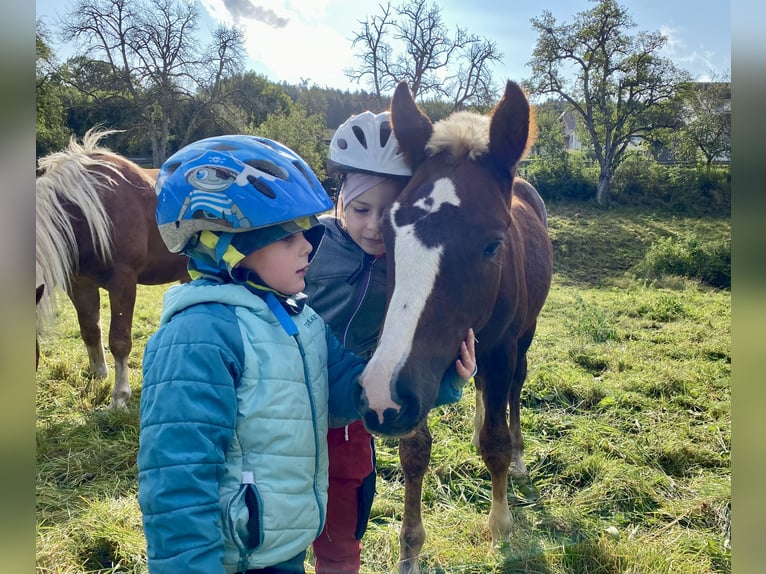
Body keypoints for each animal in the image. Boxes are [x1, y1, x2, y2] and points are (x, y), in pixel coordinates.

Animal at [36, 130, 190, 410]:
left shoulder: (123, 282)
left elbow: (119, 340)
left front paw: (119, 397)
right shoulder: (79, 283)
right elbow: (89, 330)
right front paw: (98, 378)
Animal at [364, 82, 556, 574]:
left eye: (492, 244)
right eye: (387, 234)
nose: (380, 395)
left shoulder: (498, 349)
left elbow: (496, 443)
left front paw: (501, 528)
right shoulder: (421, 369)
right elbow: (414, 450)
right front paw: (409, 549)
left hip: (523, 336)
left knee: (513, 389)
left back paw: (520, 454)